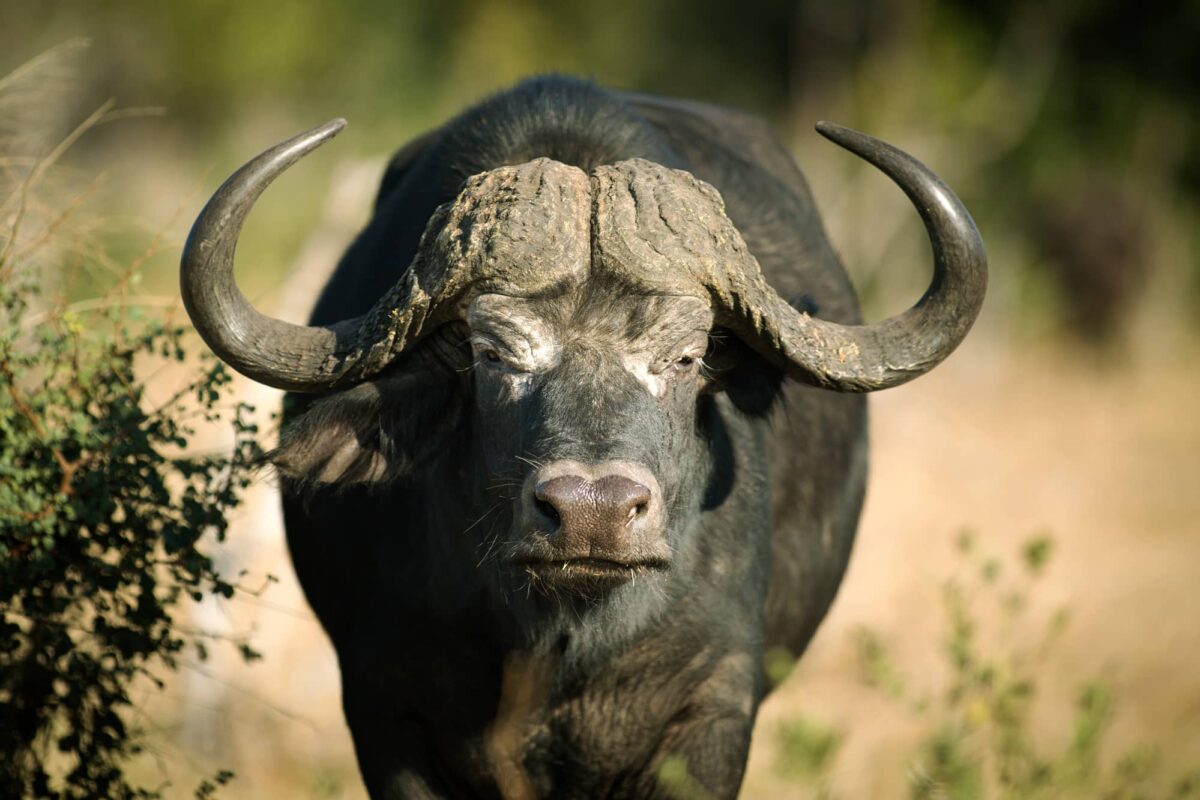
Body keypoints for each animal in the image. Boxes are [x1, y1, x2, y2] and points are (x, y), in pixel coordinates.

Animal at [180, 76, 985, 798]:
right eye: (494, 354)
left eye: (686, 357)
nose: (592, 513)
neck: (560, 634)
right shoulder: (385, 712)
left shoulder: (713, 710)